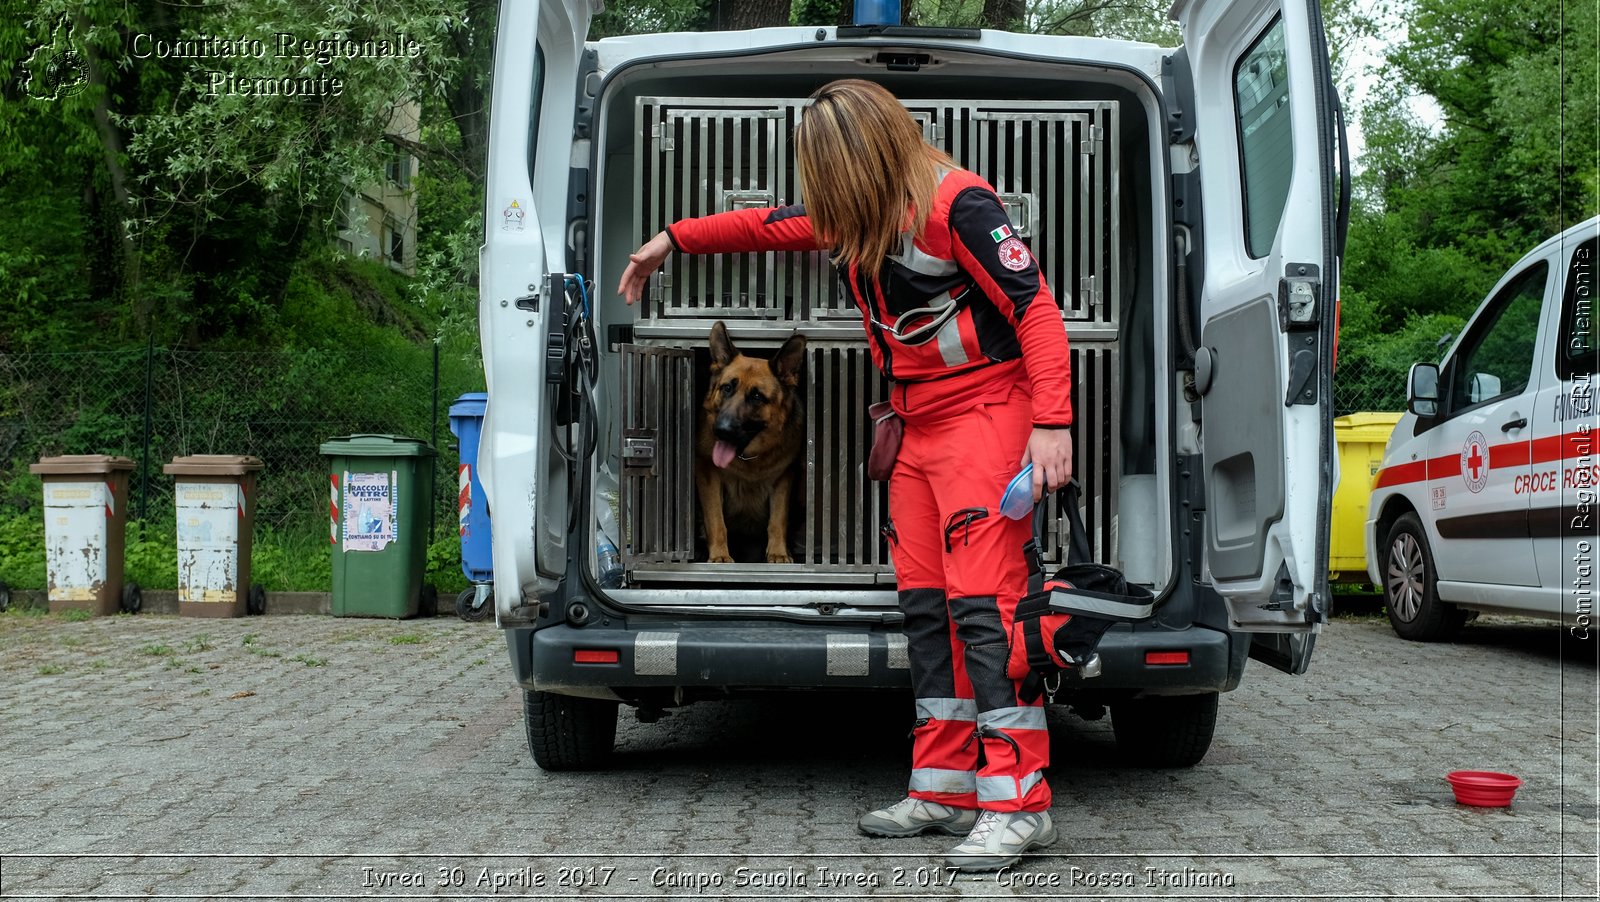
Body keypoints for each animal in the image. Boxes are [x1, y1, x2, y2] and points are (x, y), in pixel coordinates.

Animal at [697, 323, 806, 562]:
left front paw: (778, 553)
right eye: (727, 388)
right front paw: (719, 556)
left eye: (756, 397)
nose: (721, 430)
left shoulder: (783, 479)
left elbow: (777, 519)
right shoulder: (709, 476)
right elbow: (716, 521)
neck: (749, 460)